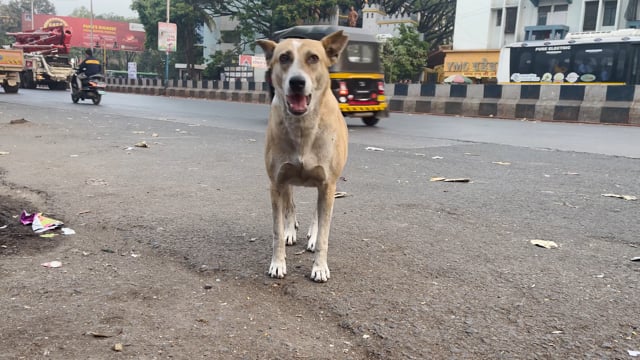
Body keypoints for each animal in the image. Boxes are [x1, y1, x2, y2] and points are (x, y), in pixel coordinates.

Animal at [256, 31, 350, 282]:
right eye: (284, 57)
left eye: (313, 58)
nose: (297, 82)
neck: (302, 128)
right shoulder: (276, 182)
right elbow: (277, 229)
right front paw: (278, 263)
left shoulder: (327, 183)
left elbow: (325, 233)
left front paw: (320, 266)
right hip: (285, 180)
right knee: (290, 204)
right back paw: (290, 229)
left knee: (318, 212)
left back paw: (313, 236)